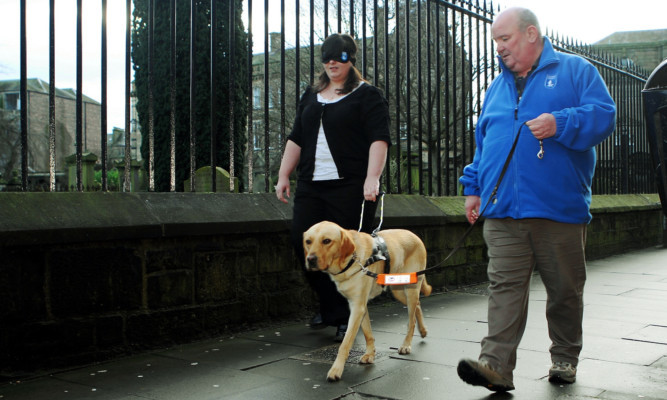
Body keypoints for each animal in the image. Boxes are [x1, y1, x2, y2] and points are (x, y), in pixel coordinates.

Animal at [302, 222, 434, 382]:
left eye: (326, 241)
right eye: (308, 241)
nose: (310, 259)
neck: (351, 259)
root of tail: (414, 235)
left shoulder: (357, 307)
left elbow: (345, 344)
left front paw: (336, 369)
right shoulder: (359, 305)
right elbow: (367, 333)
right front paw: (370, 354)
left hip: (410, 289)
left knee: (411, 319)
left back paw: (406, 345)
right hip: (397, 291)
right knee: (418, 306)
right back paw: (423, 330)